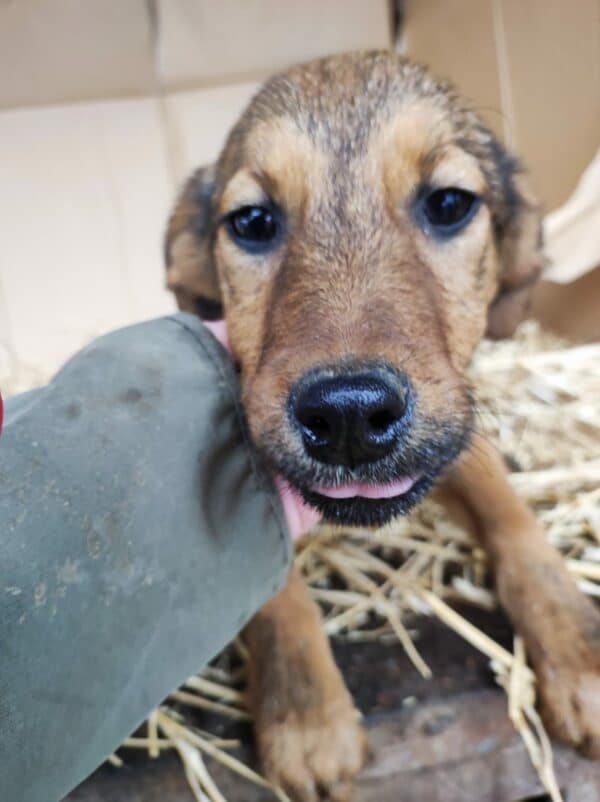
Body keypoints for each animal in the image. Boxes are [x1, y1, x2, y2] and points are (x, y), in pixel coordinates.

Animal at [164, 51, 600, 800]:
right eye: (251, 220)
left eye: (450, 204)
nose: (347, 416)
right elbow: (274, 590)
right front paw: (306, 714)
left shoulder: (460, 435)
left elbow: (517, 524)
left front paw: (579, 651)